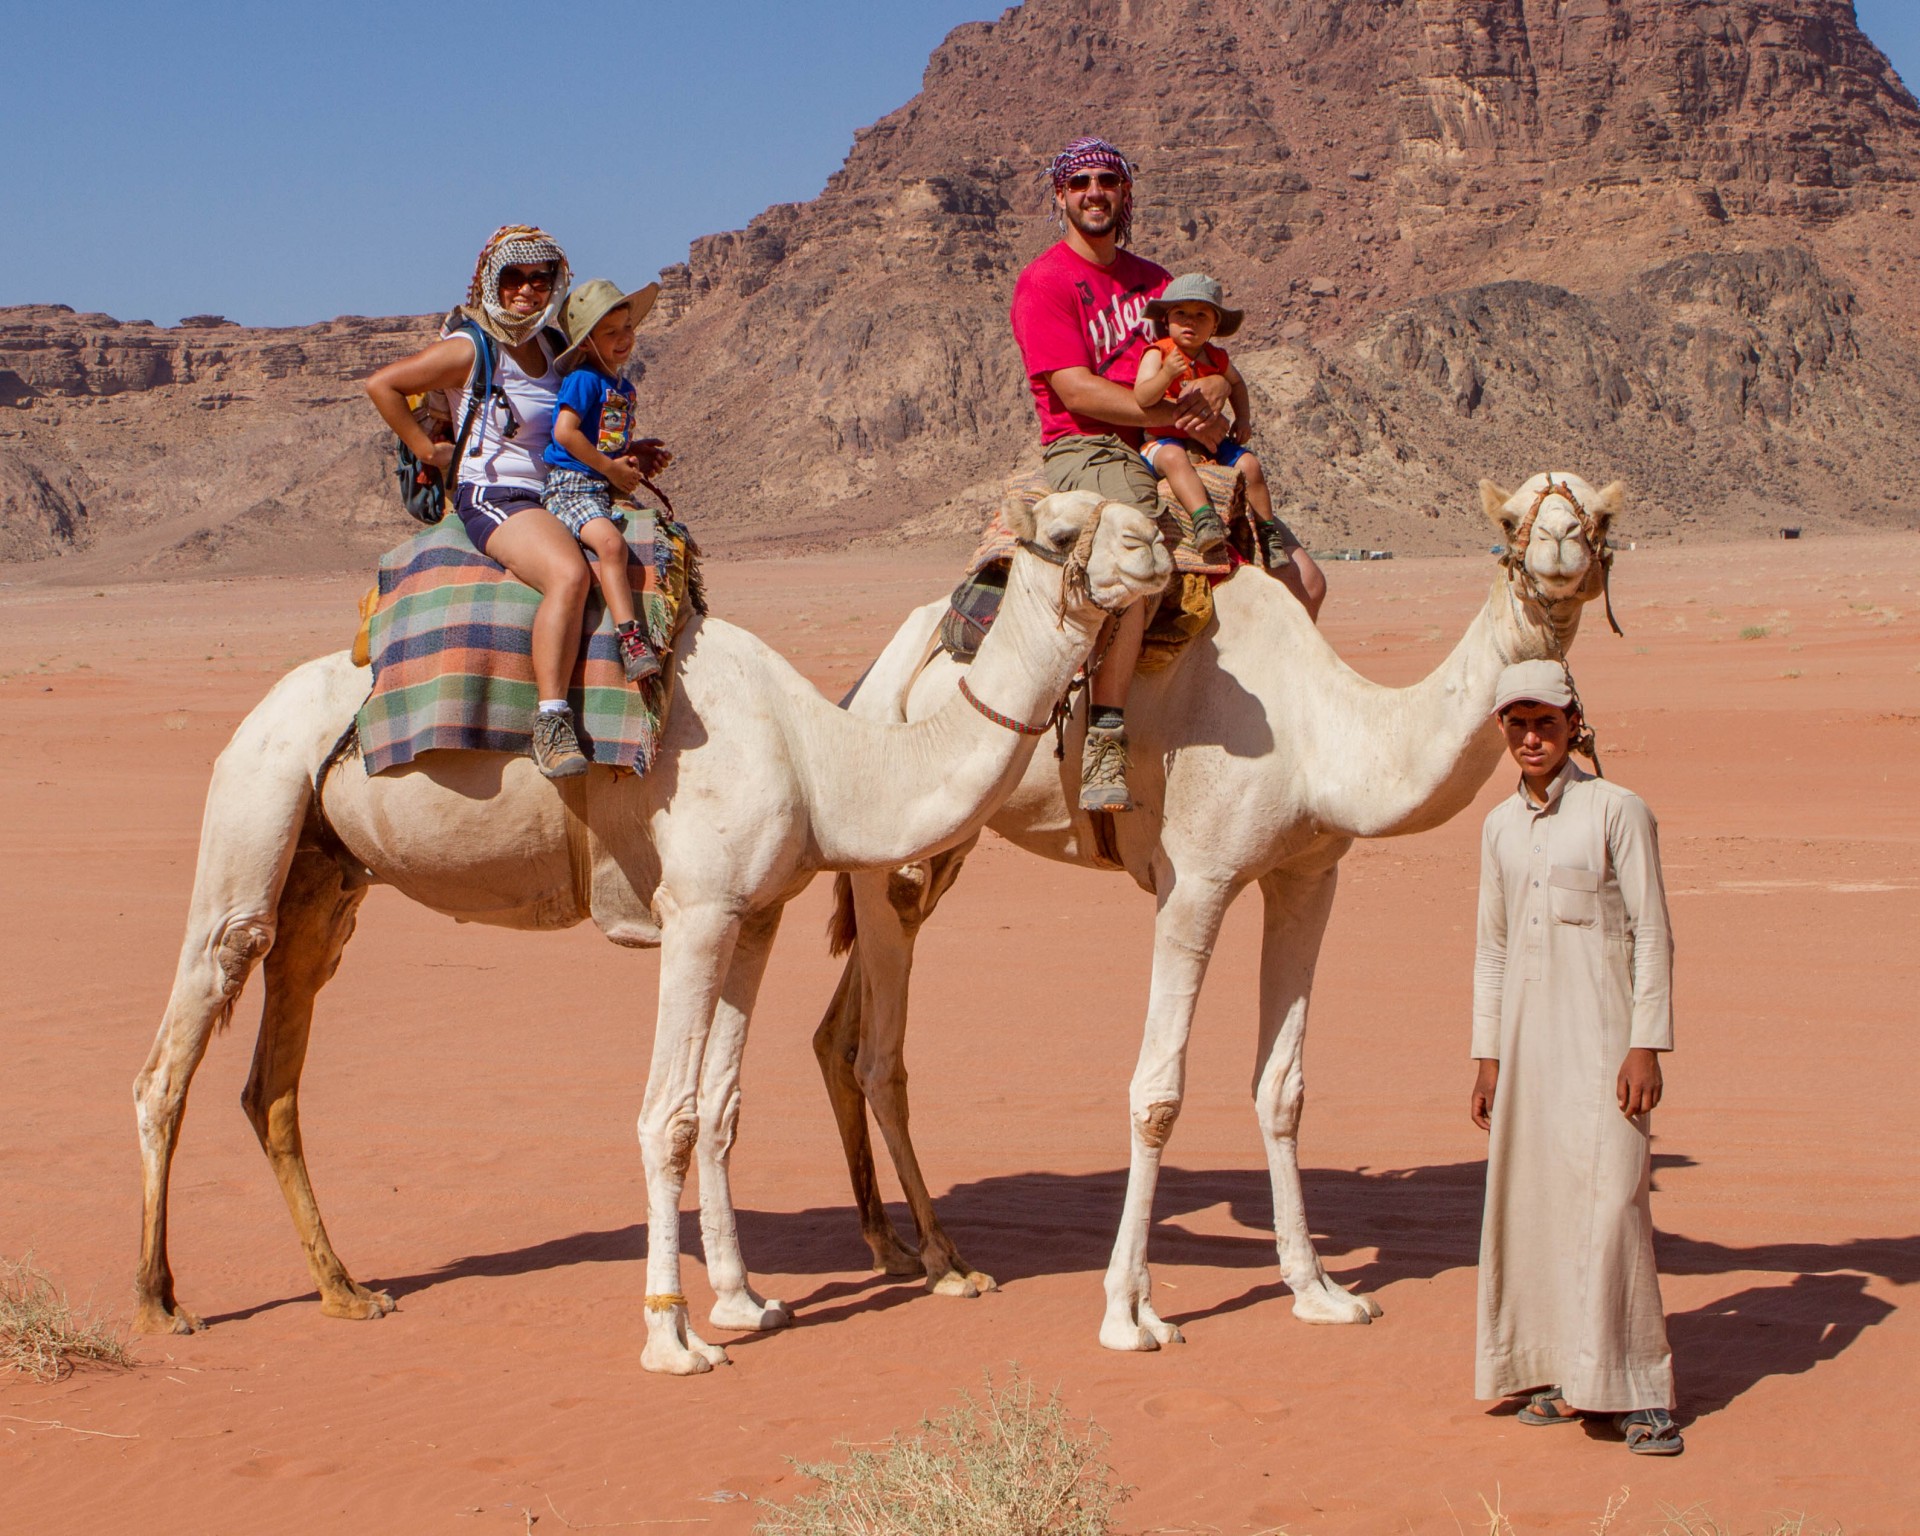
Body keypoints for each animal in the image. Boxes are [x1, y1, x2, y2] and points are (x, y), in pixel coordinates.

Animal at [135, 495, 1167, 1382]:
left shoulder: (756, 915)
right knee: (180, 1040)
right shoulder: (696, 913)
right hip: (254, 807)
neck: (821, 759)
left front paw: (746, 1301)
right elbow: (665, 1116)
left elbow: (722, 1106)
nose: (1155, 543)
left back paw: (346, 1289)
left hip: (329, 877)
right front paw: (674, 1335)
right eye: (1066, 525)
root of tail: (257, 713)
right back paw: (159, 1302)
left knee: (274, 1078)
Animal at [810, 474, 1620, 1351]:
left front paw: (1320, 1290)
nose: (1561, 543)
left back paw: (890, 1244)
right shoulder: (1195, 880)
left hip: (944, 847)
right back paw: (945, 1261)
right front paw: (1129, 1312)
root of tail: (874, 675)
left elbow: (1282, 1087)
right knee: (880, 1056)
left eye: (1600, 514)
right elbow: (1157, 1093)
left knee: (841, 1034)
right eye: (1510, 518)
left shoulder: (1307, 877)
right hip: (890, 845)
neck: (1320, 736)